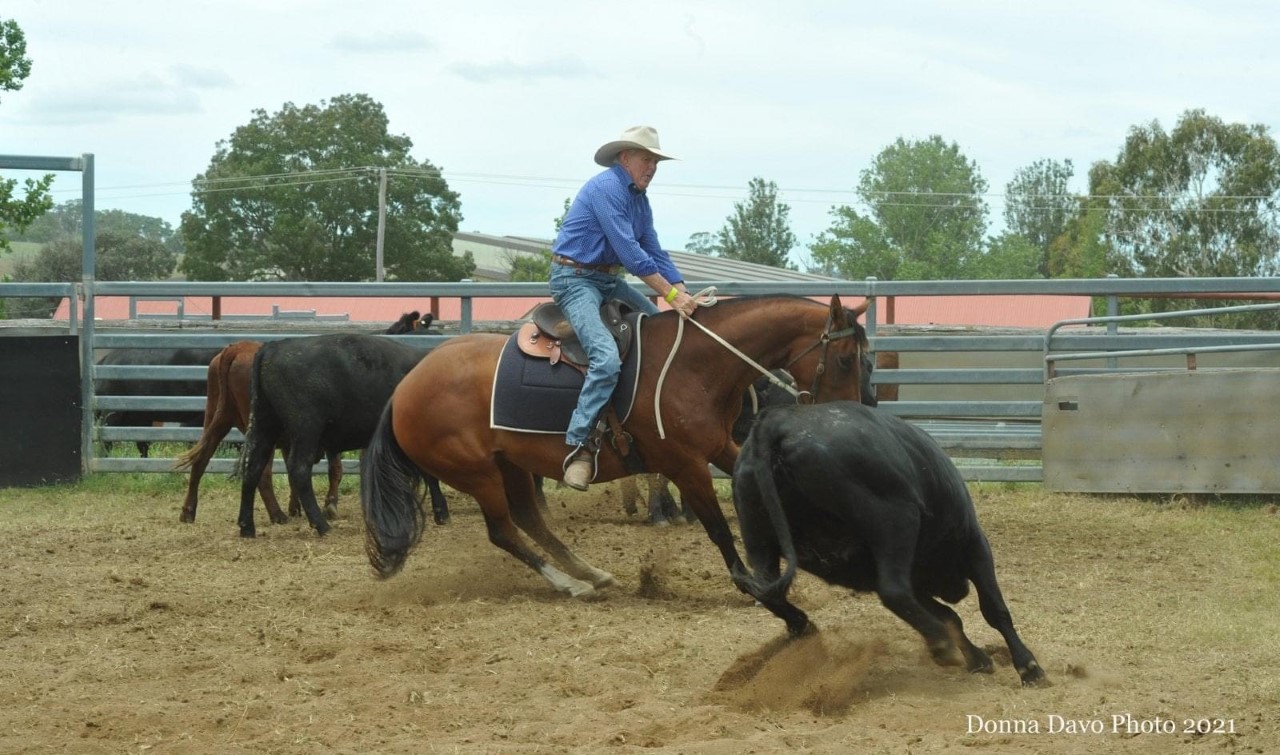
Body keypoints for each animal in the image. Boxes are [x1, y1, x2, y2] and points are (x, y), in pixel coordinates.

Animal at [236, 328, 449, 538]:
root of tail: (272, 347)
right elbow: (428, 474)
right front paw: (441, 512)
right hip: (306, 429)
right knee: (299, 469)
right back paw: (321, 524)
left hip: (264, 425)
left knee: (252, 467)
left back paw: (247, 526)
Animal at [361, 294, 869, 597]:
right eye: (846, 359)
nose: (852, 417)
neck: (696, 362)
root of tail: (405, 386)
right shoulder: (685, 464)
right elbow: (717, 527)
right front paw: (749, 583)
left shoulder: (719, 447)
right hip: (478, 473)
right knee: (504, 531)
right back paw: (568, 584)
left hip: (511, 465)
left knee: (529, 519)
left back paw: (589, 573)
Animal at [730, 401, 1048, 686]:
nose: (960, 590)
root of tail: (775, 425)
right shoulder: (973, 543)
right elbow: (993, 609)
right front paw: (1028, 666)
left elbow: (950, 616)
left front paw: (977, 658)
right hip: (895, 521)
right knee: (893, 591)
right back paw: (941, 645)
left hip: (760, 541)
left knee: (765, 590)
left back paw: (803, 625)